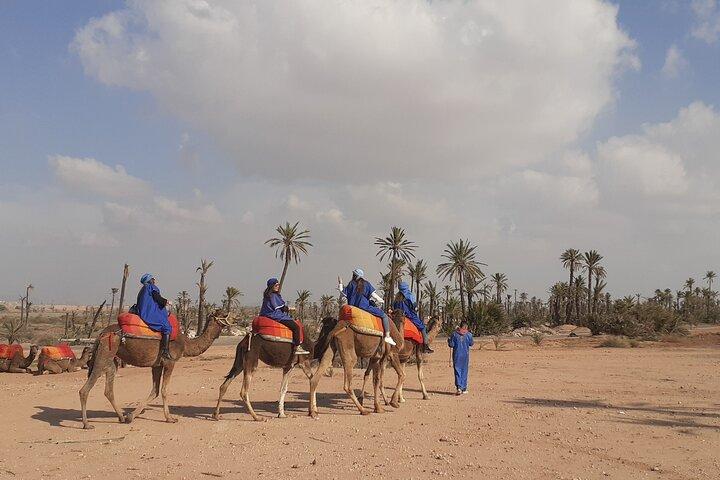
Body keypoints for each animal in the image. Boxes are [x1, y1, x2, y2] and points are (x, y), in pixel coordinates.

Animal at [79, 310, 233, 430]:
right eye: (224, 314)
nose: (234, 319)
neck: (186, 343)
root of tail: (101, 334)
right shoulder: (170, 362)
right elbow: (164, 390)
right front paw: (170, 418)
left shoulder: (157, 365)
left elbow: (155, 391)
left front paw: (130, 416)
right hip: (106, 351)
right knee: (85, 389)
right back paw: (86, 424)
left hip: (111, 359)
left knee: (108, 389)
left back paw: (121, 417)